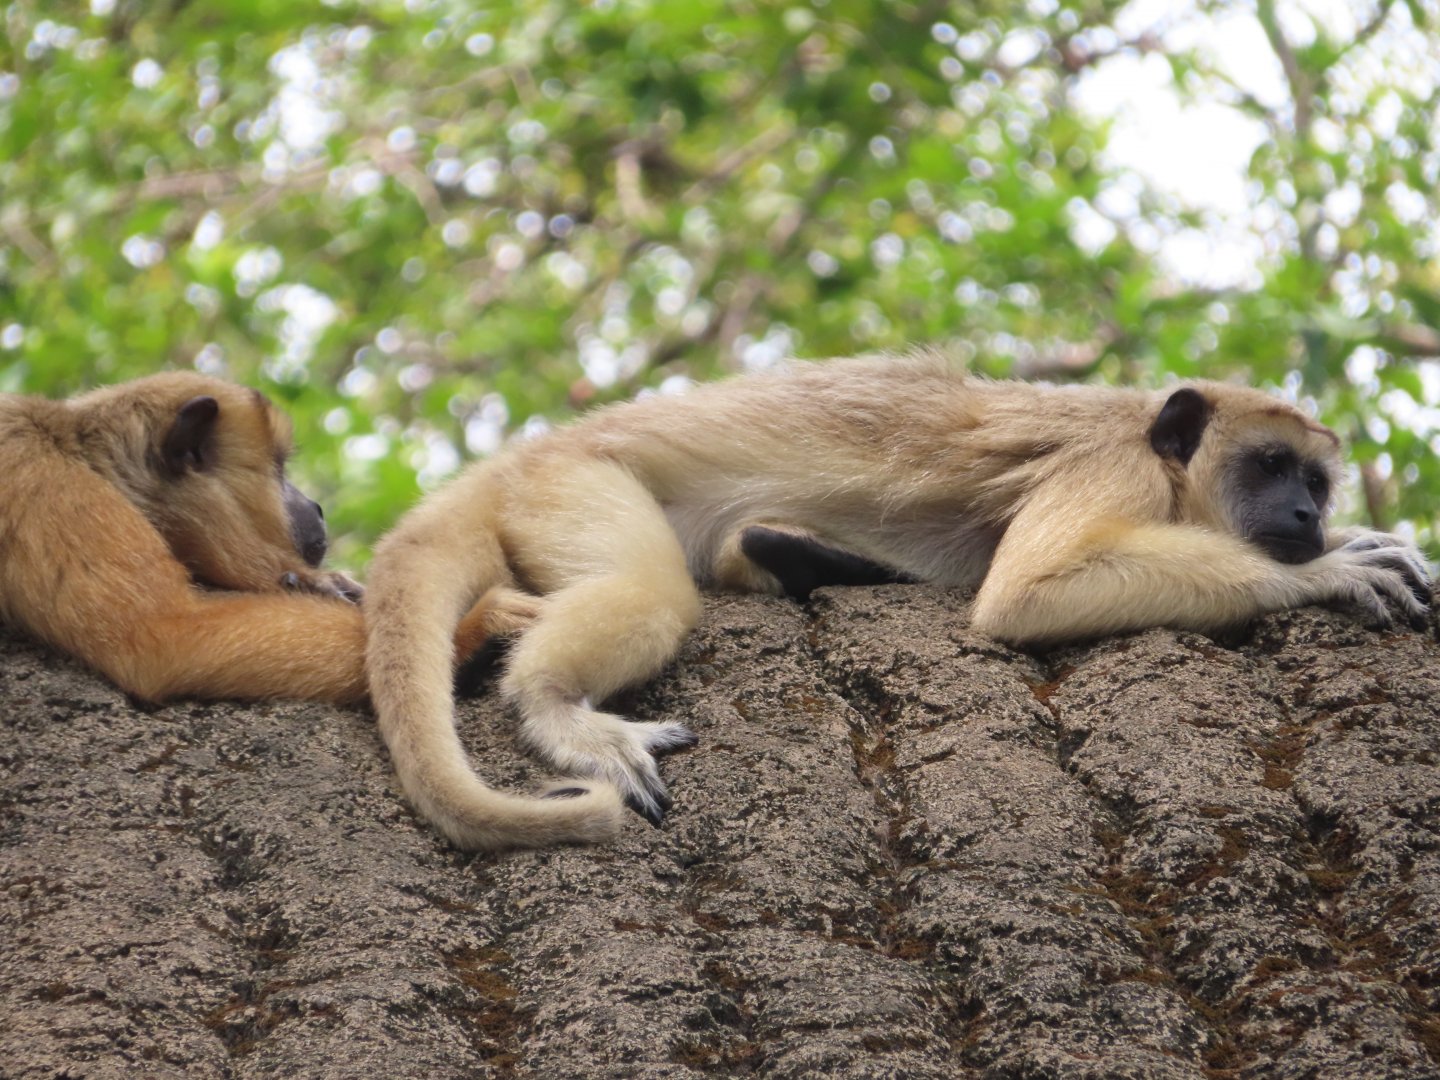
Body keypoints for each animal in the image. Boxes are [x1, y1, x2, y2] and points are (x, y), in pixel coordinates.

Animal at [0, 371, 503, 706]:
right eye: (278, 469)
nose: (316, 507)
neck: (89, 460)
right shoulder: (52, 489)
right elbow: (163, 641)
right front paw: (469, 635)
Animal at [363, 353, 1433, 851]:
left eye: (1316, 479)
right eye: (1268, 466)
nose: (1305, 512)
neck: (1157, 451)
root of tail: (520, 457)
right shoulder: (1110, 465)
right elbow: (1027, 592)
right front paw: (1325, 572)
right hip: (571, 485)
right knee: (649, 589)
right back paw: (558, 711)